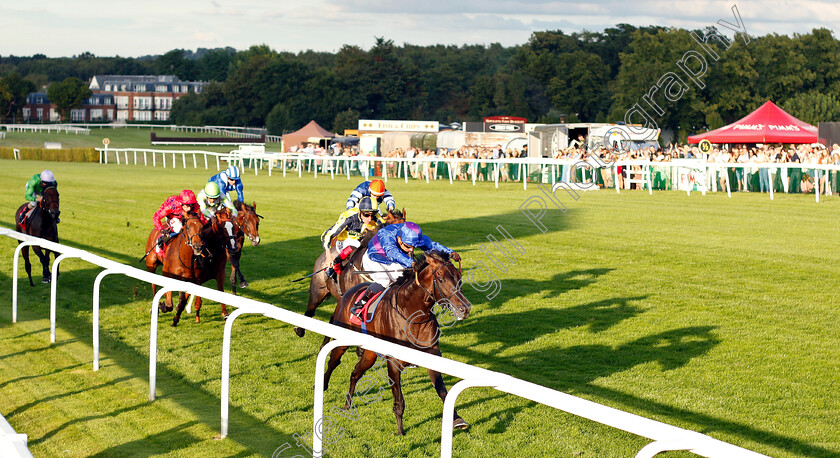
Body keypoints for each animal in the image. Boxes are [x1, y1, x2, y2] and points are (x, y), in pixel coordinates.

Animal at [322, 252, 472, 434]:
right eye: (441, 279)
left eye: (459, 277)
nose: (465, 308)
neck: (413, 316)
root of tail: (346, 295)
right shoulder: (393, 360)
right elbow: (399, 399)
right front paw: (400, 430)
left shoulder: (432, 354)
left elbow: (442, 390)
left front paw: (457, 419)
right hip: (343, 339)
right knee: (333, 361)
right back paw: (322, 386)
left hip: (370, 354)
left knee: (355, 373)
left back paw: (347, 404)